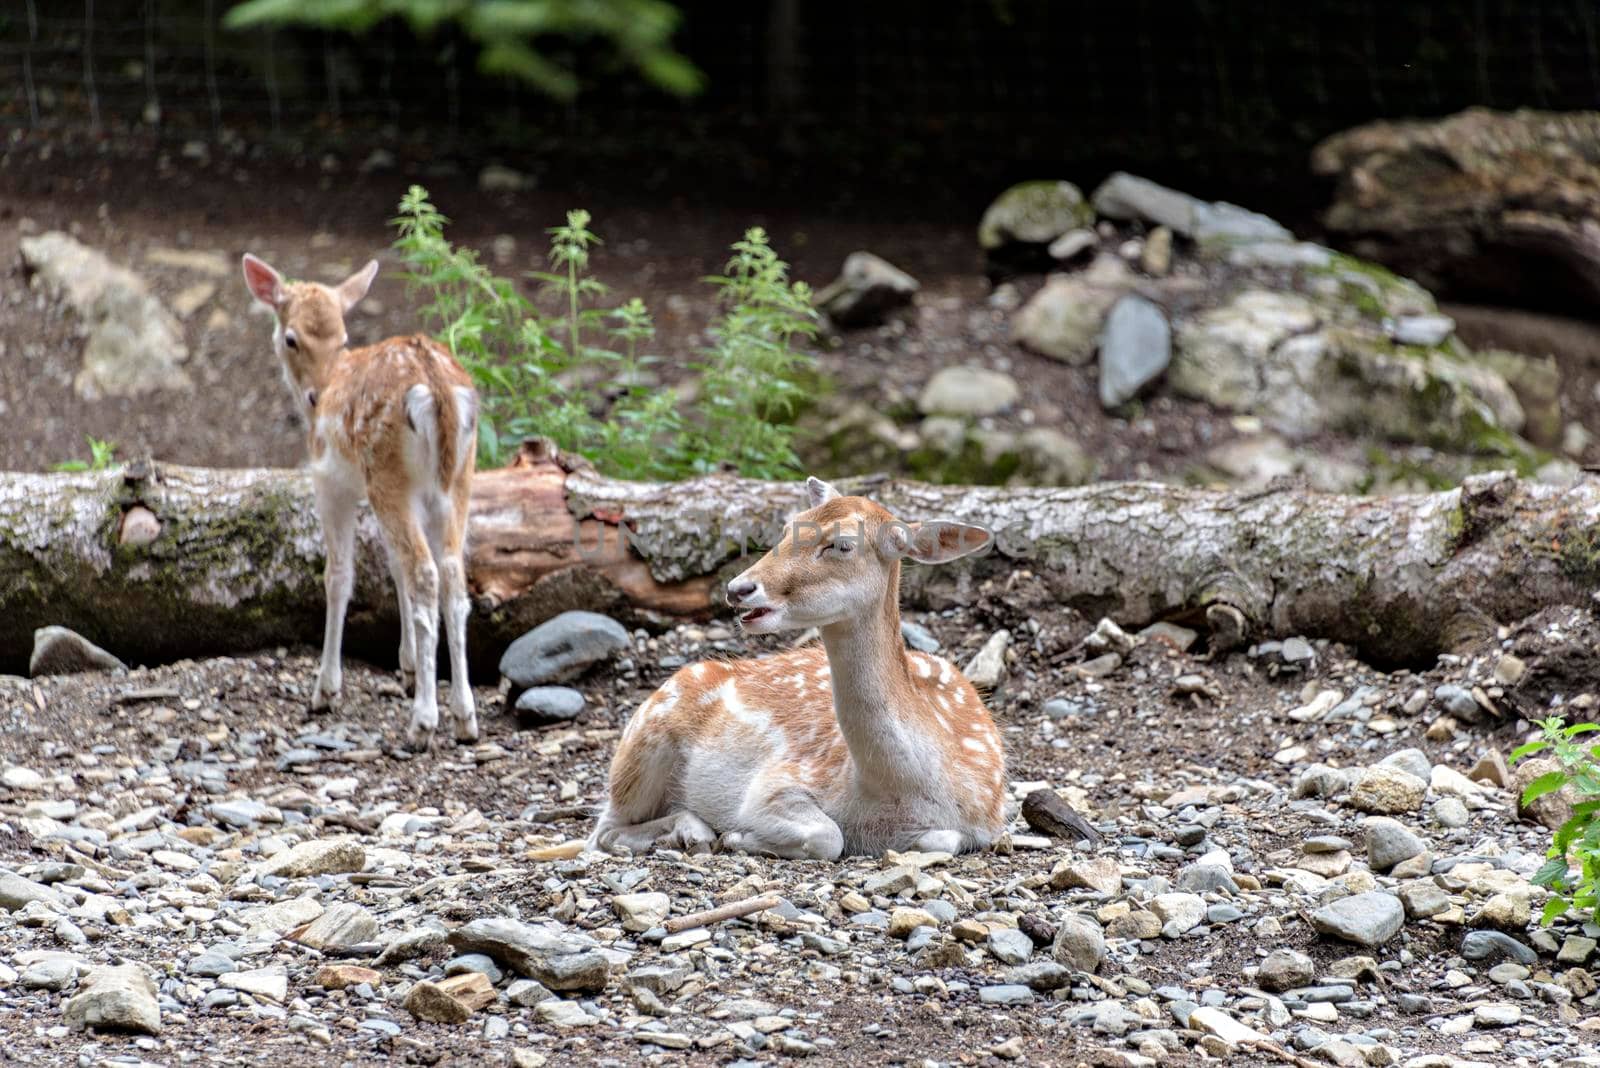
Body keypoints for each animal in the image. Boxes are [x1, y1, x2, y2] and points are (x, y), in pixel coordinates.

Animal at [236, 254, 473, 748]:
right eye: (293, 337)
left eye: (343, 338)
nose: (315, 395)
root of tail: (438, 388)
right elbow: (394, 571)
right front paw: (407, 667)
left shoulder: (331, 483)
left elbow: (339, 577)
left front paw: (325, 689)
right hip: (454, 482)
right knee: (452, 575)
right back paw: (465, 717)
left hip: (389, 476)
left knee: (427, 573)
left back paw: (424, 721)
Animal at [595, 476, 1004, 856]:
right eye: (786, 528)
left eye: (842, 544)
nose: (738, 589)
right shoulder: (779, 780)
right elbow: (828, 836)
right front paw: (738, 835)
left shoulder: (985, 822)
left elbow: (943, 839)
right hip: (642, 746)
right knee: (603, 830)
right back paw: (693, 831)